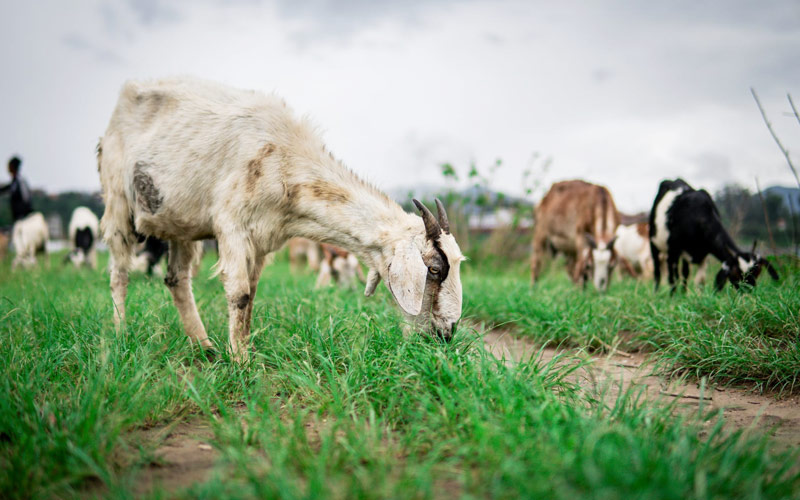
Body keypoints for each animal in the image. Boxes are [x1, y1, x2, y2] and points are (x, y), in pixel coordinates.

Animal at [100, 77, 466, 360]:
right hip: (118, 201)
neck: (285, 161)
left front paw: (243, 348)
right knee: (119, 273)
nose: (447, 333)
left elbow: (252, 294)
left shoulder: (263, 238)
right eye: (434, 269)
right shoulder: (232, 225)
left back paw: (204, 347)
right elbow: (239, 293)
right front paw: (241, 362)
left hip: (180, 224)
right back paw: (120, 332)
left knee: (177, 279)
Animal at [648, 178, 780, 292]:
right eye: (735, 274)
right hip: (654, 244)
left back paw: (684, 292)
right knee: (659, 272)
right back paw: (657, 292)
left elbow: (700, 280)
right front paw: (673, 297)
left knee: (685, 273)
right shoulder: (673, 250)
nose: (748, 292)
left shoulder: (703, 254)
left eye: (757, 272)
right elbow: (672, 278)